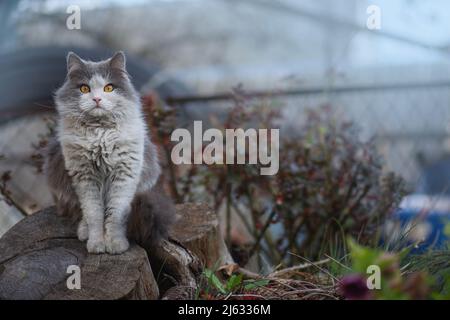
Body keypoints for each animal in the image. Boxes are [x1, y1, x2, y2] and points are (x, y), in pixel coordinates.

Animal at [44, 51, 174, 254]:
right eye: (84, 88)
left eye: (108, 88)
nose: (97, 99)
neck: (100, 133)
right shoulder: (85, 178)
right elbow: (94, 214)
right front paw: (97, 243)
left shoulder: (124, 175)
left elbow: (115, 215)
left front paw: (115, 244)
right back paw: (84, 231)